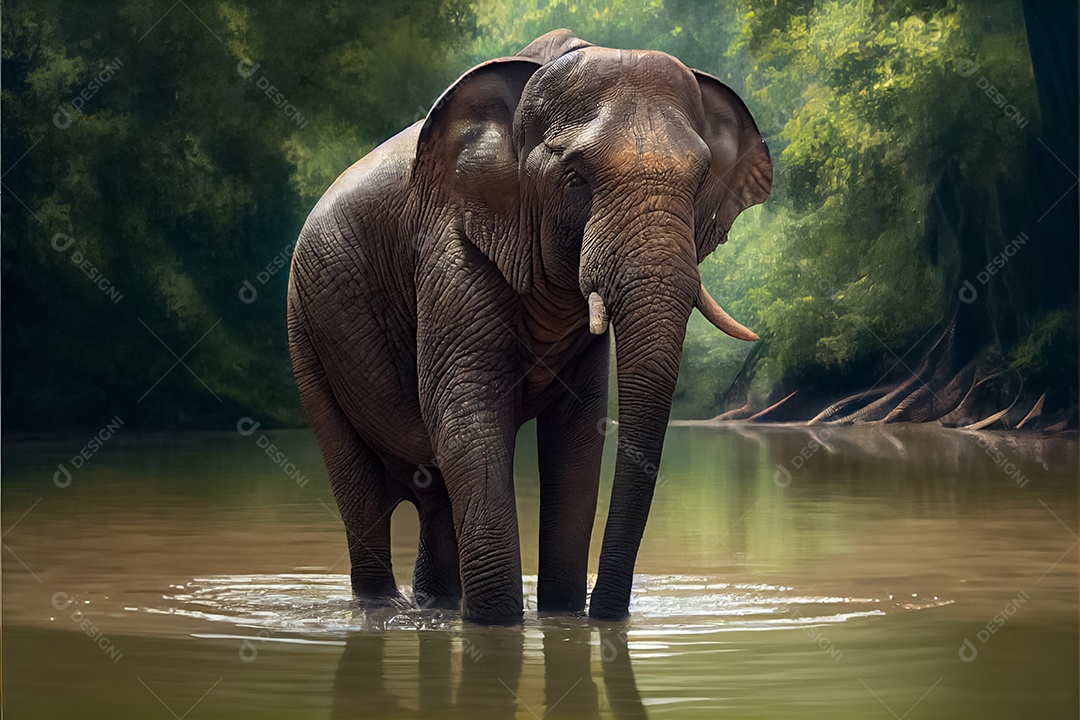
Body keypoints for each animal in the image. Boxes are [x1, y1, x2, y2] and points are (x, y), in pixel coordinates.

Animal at [287, 29, 772, 624]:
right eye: (575, 177)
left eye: (702, 180)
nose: (604, 611)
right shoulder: (452, 240)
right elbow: (466, 417)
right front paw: (500, 623)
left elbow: (577, 440)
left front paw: (561, 617)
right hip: (305, 328)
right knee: (359, 485)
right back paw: (385, 609)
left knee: (435, 494)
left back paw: (437, 606)